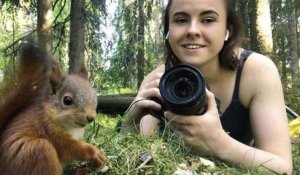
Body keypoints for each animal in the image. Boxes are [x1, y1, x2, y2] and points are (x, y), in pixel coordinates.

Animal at [0, 43, 105, 174]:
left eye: (94, 96)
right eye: (67, 100)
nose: (91, 117)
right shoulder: (49, 130)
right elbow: (69, 149)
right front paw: (94, 152)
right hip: (38, 151)